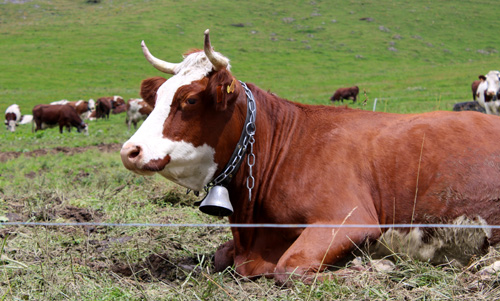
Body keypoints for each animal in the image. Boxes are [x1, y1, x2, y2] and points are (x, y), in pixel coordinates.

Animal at [120, 29, 500, 284]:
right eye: (158, 96)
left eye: (190, 100)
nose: (129, 151)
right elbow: (220, 254)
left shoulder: (349, 217)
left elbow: (290, 266)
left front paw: (374, 265)